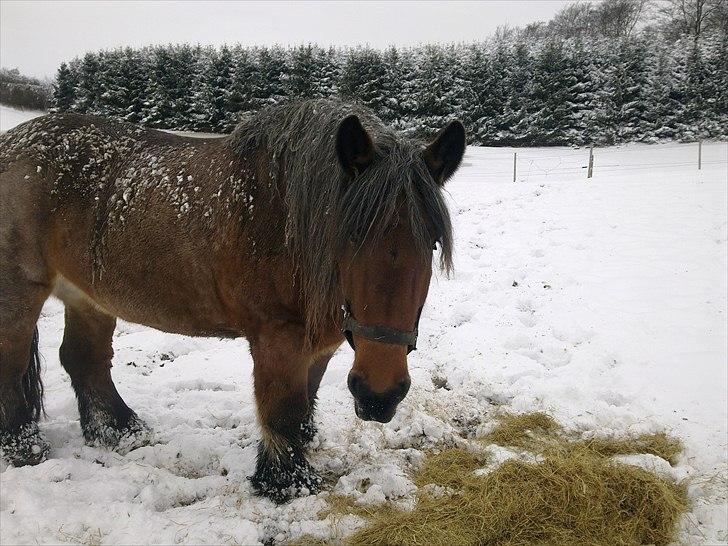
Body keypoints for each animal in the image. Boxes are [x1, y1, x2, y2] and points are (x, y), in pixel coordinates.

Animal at [0, 99, 464, 502]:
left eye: (433, 243)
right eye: (349, 237)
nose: (378, 395)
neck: (289, 222)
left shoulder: (320, 344)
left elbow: (304, 403)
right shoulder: (277, 337)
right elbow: (283, 409)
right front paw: (285, 483)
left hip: (89, 297)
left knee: (85, 359)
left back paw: (120, 431)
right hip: (21, 292)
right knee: (15, 361)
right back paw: (25, 449)